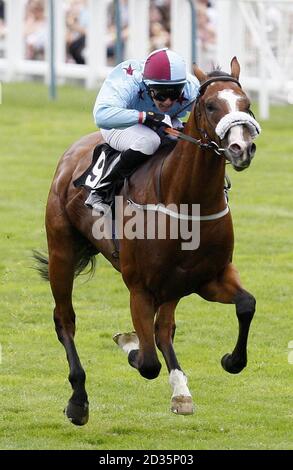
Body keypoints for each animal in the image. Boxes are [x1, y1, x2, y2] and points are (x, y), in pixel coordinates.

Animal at [34, 56, 260, 426]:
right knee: (65, 320)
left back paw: (181, 390)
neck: (186, 202)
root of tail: (72, 153)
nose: (242, 149)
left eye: (247, 104)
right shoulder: (140, 288)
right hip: (61, 252)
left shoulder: (210, 278)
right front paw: (130, 346)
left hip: (172, 286)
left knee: (164, 328)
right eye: (211, 105)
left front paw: (231, 360)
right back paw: (78, 401)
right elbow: (148, 362)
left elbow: (246, 305)